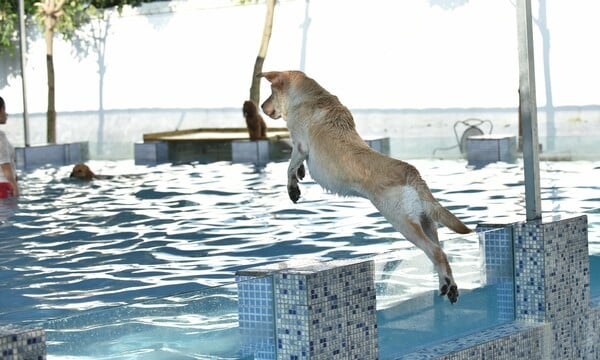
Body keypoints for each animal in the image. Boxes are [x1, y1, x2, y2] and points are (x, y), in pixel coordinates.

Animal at [260, 70, 472, 304]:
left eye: (270, 92)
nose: (261, 106)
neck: (311, 96)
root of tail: (413, 174)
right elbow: (295, 167)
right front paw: (300, 174)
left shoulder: (300, 145)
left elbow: (289, 167)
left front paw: (293, 189)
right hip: (426, 221)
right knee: (440, 250)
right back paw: (449, 286)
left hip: (402, 222)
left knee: (436, 252)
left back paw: (446, 284)